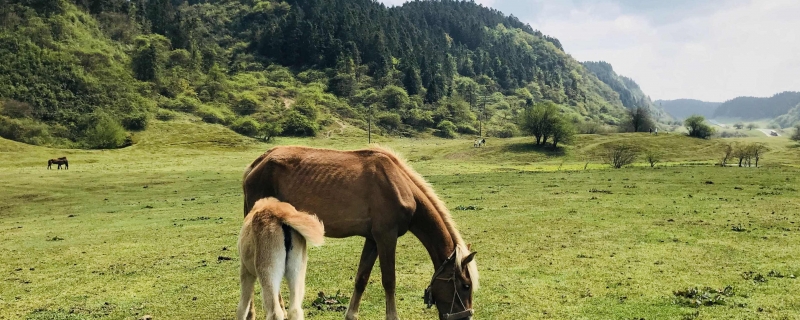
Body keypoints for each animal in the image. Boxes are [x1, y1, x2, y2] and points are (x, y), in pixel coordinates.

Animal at [244, 146, 478, 320]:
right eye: (465, 286)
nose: (467, 317)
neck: (398, 184)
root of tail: (257, 164)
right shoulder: (386, 237)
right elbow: (389, 280)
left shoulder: (373, 240)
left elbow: (362, 278)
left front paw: (351, 314)